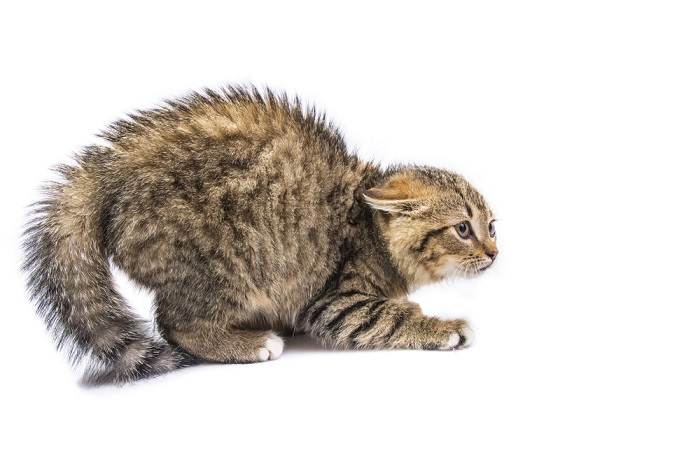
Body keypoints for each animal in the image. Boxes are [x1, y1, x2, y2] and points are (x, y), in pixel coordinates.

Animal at [23, 87, 498, 386]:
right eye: (462, 229)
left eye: (492, 227)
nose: (494, 253)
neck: (371, 229)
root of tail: (107, 170)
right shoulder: (336, 299)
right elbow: (385, 316)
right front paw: (443, 327)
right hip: (223, 261)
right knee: (176, 322)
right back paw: (246, 343)